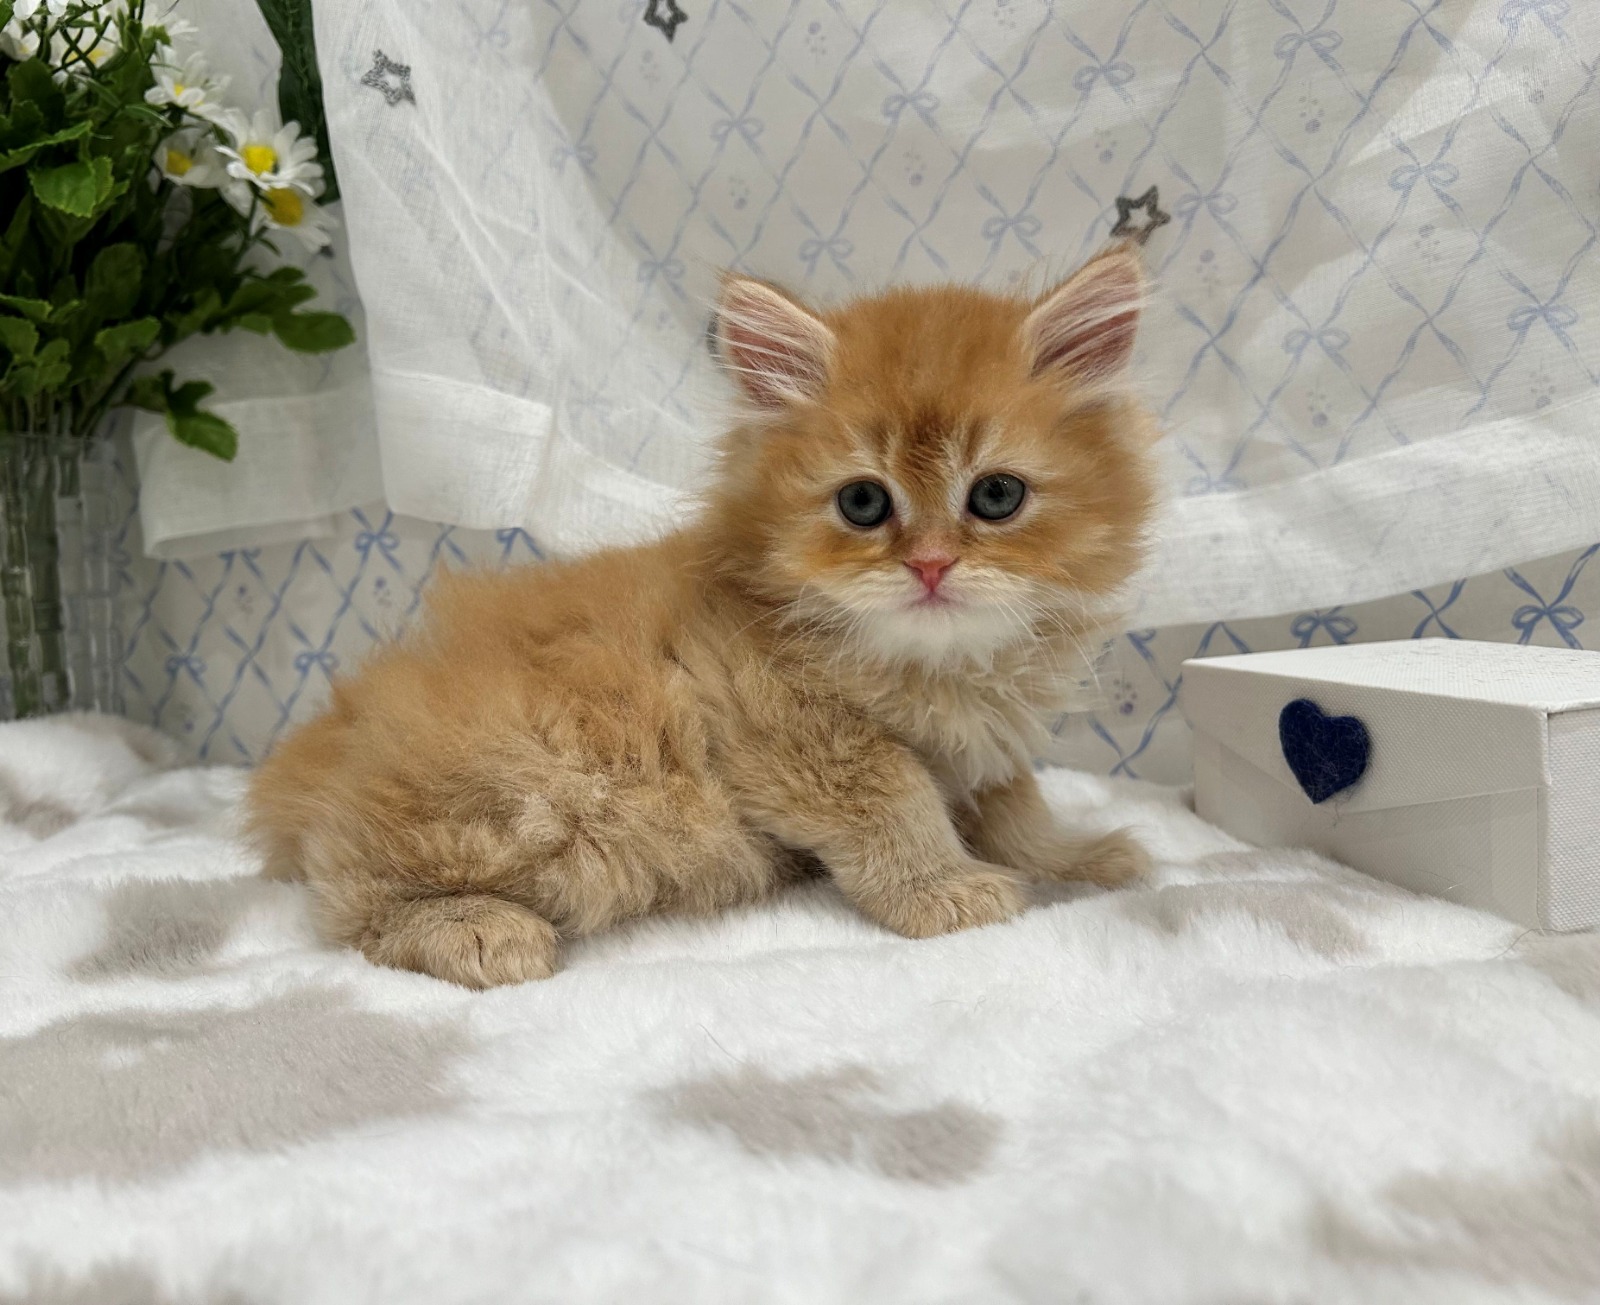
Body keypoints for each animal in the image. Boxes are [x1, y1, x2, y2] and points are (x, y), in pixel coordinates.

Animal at [245, 243, 1160, 988]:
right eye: (864, 503)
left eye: (996, 495)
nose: (931, 564)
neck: (930, 663)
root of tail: (340, 736)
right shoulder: (782, 730)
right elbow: (896, 800)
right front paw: (943, 887)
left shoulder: (985, 745)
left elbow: (1016, 805)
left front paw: (1079, 856)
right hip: (529, 788)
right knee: (348, 891)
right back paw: (478, 928)